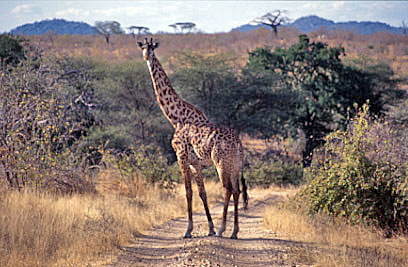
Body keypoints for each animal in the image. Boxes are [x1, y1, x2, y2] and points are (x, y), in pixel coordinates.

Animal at [136, 38, 249, 241]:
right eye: (142, 47)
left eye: (153, 48)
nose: (146, 56)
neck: (176, 118)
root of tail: (238, 144)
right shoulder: (195, 163)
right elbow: (202, 192)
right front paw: (209, 228)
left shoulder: (181, 157)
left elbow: (188, 192)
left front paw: (188, 231)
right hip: (235, 164)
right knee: (237, 190)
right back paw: (234, 232)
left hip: (221, 162)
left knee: (227, 189)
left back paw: (223, 230)